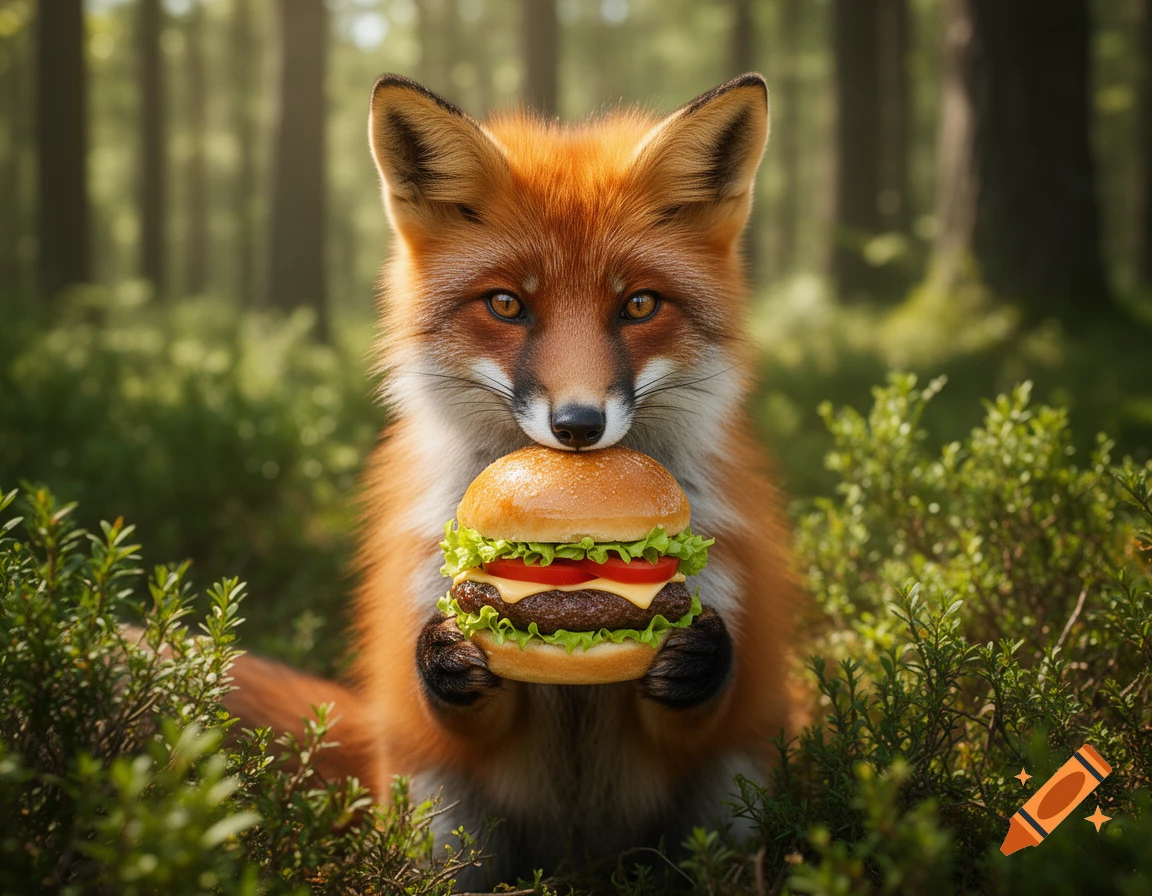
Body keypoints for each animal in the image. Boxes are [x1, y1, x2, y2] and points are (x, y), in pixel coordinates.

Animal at [224, 72, 802, 887]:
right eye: (507, 304)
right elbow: (460, 706)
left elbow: (698, 707)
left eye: (639, 304)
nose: (578, 425)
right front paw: (445, 658)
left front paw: (697, 660)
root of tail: (582, 865)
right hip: (436, 813)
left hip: (730, 800)